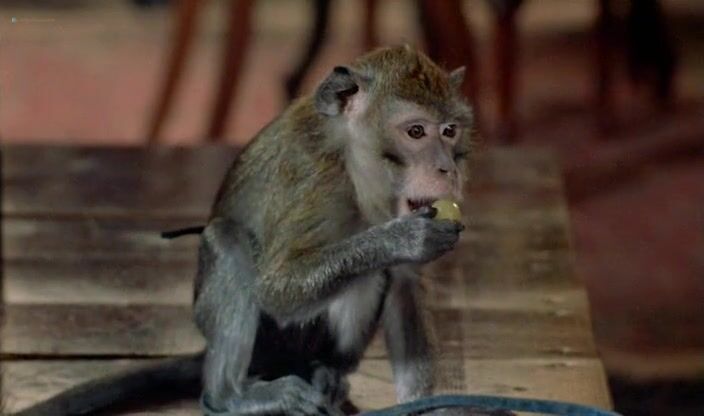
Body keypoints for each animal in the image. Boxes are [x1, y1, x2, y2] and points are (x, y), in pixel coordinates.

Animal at [11, 45, 474, 416]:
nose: (446, 170)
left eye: (448, 131)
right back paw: (230, 395)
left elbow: (405, 285)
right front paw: (402, 240)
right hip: (266, 341)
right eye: (416, 131)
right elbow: (277, 290)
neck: (358, 169)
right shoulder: (317, 184)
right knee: (229, 241)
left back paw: (325, 374)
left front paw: (427, 407)